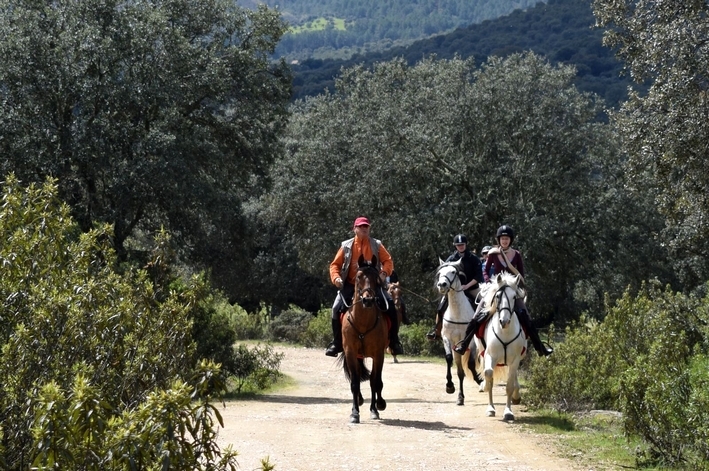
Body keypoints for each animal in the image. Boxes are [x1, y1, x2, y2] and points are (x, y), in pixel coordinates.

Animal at [338, 254, 388, 424]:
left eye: (376, 277)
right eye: (359, 276)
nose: (368, 300)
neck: (363, 322)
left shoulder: (378, 355)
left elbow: (375, 381)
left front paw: (376, 407)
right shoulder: (351, 353)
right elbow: (355, 382)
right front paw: (354, 413)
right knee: (358, 377)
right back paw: (359, 400)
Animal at [432, 258, 476, 406]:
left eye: (453, 272)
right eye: (440, 272)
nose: (442, 285)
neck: (457, 312)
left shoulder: (469, 340)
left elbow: (471, 363)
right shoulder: (447, 339)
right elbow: (448, 358)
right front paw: (449, 386)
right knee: (460, 372)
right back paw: (460, 397)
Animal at [470, 272, 524, 422]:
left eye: (514, 297)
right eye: (498, 296)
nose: (504, 321)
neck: (505, 332)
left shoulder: (515, 360)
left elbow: (510, 384)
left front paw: (508, 411)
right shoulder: (490, 356)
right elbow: (489, 375)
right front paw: (490, 408)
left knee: (514, 377)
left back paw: (516, 395)